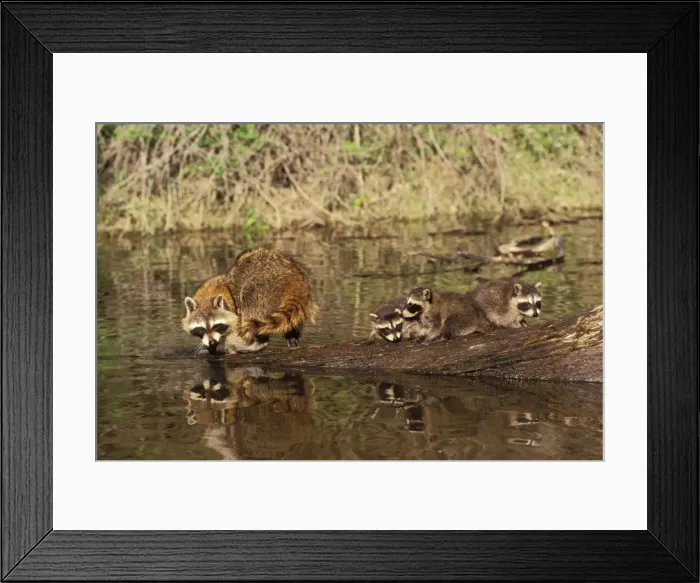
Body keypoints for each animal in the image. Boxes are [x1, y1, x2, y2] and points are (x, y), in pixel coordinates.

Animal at [182, 248, 319, 354]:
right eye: (200, 329)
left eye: (217, 325)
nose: (211, 342)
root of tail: (295, 281)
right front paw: (211, 347)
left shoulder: (234, 308)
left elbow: (237, 328)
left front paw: (227, 345)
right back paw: (292, 337)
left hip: (262, 289)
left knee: (250, 306)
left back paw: (260, 343)